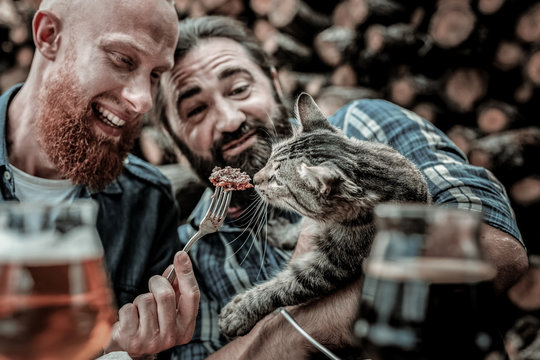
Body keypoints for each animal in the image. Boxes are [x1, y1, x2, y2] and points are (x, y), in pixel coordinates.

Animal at [217, 92, 428, 338]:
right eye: (269, 158)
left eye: (277, 181)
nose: (255, 178)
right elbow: (300, 225)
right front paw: (282, 232)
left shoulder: (331, 266)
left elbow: (280, 288)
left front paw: (240, 311)